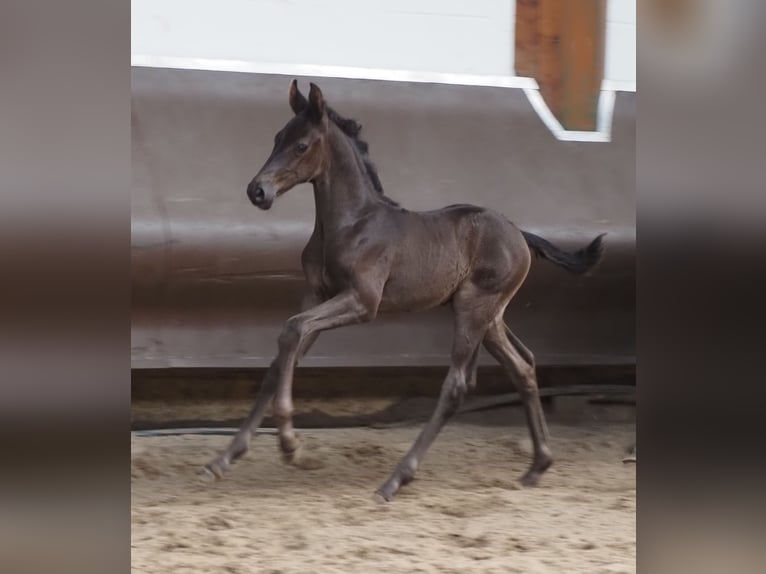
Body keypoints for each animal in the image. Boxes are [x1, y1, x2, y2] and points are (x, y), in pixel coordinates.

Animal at [206, 81, 608, 504]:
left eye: (301, 145)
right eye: (276, 138)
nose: (257, 191)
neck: (351, 224)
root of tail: (519, 232)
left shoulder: (363, 301)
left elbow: (292, 329)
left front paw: (289, 443)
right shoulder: (317, 294)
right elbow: (282, 355)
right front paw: (225, 458)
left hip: (473, 308)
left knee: (457, 385)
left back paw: (396, 479)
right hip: (491, 317)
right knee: (524, 366)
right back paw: (538, 464)